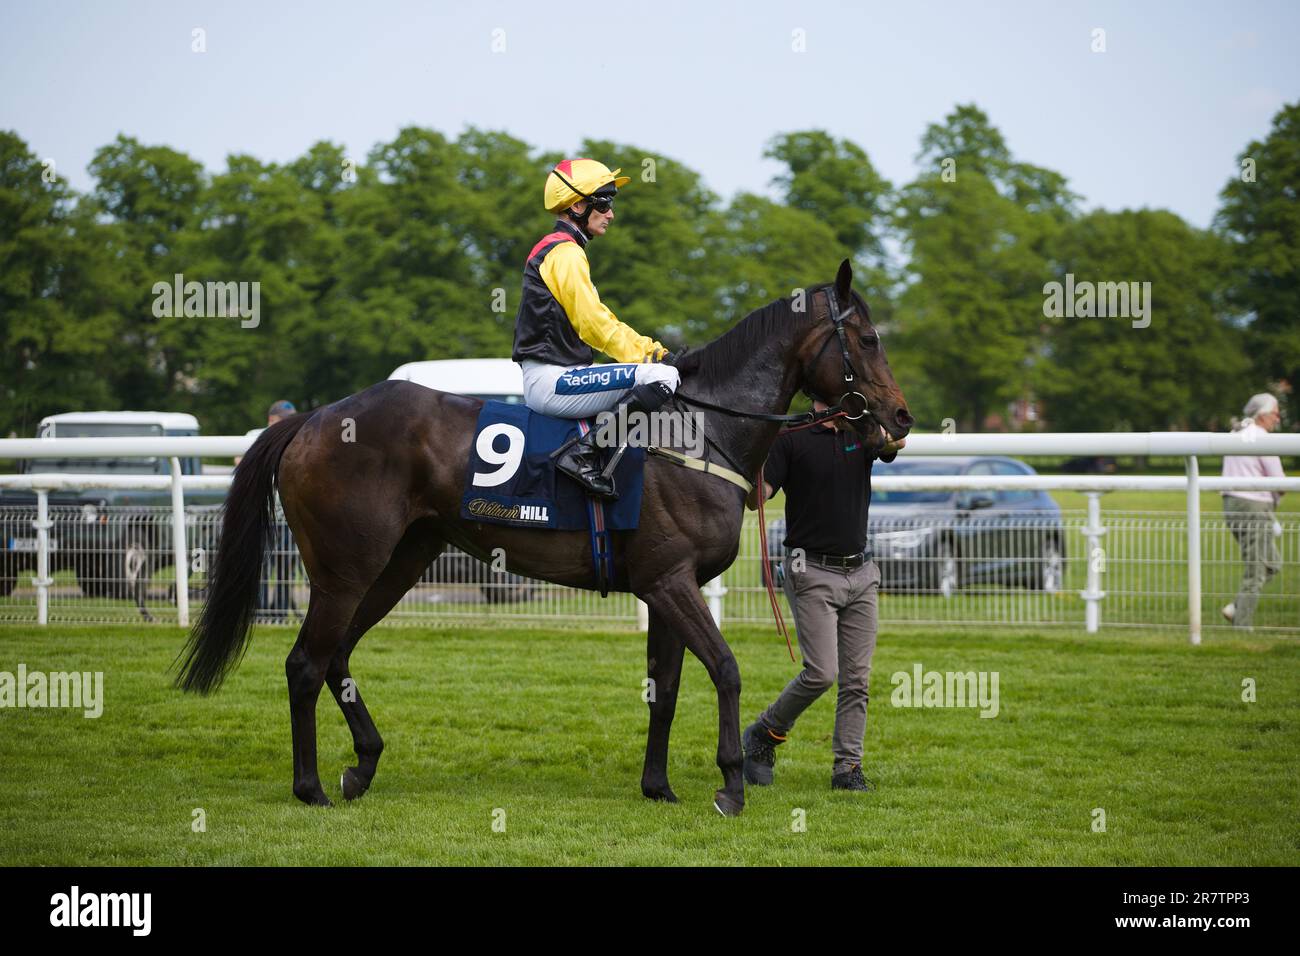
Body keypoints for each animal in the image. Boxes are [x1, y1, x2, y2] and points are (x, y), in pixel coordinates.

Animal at [175, 260, 915, 816]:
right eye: (868, 338)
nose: (900, 418)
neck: (699, 434)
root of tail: (309, 419)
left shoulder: (663, 587)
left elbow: (666, 686)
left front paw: (659, 786)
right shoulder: (671, 582)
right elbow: (726, 670)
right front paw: (731, 784)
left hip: (399, 561)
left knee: (336, 658)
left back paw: (363, 766)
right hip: (346, 567)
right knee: (306, 663)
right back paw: (311, 787)